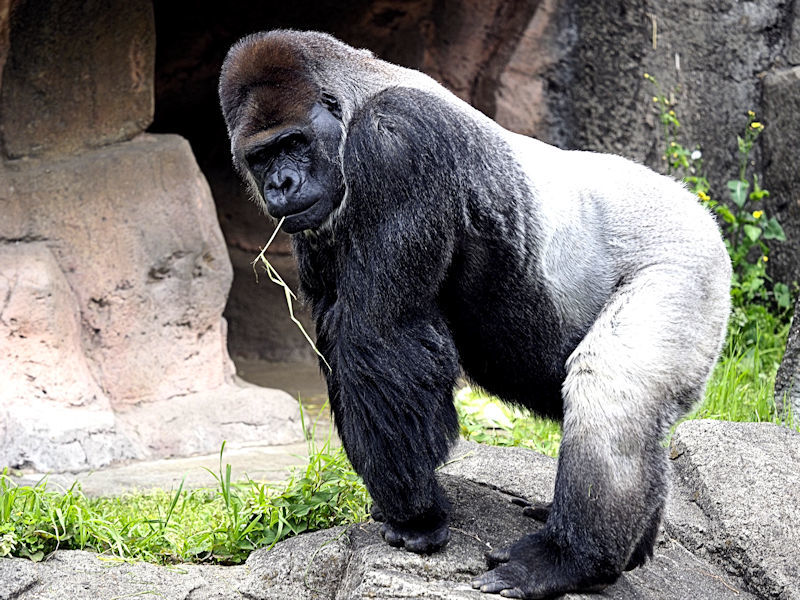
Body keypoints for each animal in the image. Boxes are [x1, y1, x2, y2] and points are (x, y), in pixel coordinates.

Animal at [219, 30, 732, 596]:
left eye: (293, 144)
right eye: (261, 157)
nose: (281, 184)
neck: (356, 96)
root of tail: (700, 209)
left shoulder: (396, 141)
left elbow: (378, 338)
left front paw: (415, 515)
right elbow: (342, 336)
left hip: (686, 263)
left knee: (611, 390)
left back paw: (570, 560)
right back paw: (631, 544)